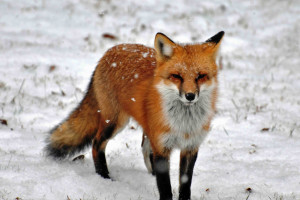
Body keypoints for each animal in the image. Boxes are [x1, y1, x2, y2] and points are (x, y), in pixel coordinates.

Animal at [45, 31, 224, 200]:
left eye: (200, 76)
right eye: (177, 76)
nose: (190, 96)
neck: (184, 124)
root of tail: (111, 50)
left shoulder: (190, 147)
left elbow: (185, 185)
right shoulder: (161, 147)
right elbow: (165, 187)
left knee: (144, 148)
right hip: (115, 123)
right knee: (96, 144)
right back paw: (104, 177)